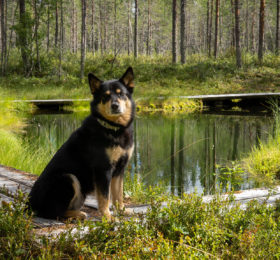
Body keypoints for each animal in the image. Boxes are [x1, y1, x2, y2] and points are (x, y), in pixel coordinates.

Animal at [27, 67, 135, 219]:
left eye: (121, 94)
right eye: (105, 96)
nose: (115, 106)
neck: (114, 128)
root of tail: (29, 204)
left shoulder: (119, 169)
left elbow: (118, 194)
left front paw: (122, 210)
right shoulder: (103, 169)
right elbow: (105, 197)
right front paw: (107, 216)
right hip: (69, 178)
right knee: (53, 212)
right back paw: (79, 214)